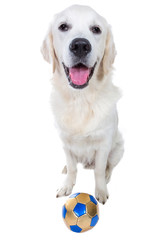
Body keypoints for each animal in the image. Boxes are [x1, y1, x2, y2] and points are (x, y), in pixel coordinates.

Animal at [41, 4, 124, 203]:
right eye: (63, 26)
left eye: (96, 29)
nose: (80, 45)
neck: (81, 99)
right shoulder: (65, 142)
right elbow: (72, 167)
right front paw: (66, 186)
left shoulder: (103, 144)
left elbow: (99, 170)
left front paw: (100, 191)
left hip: (119, 147)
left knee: (109, 165)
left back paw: (107, 175)